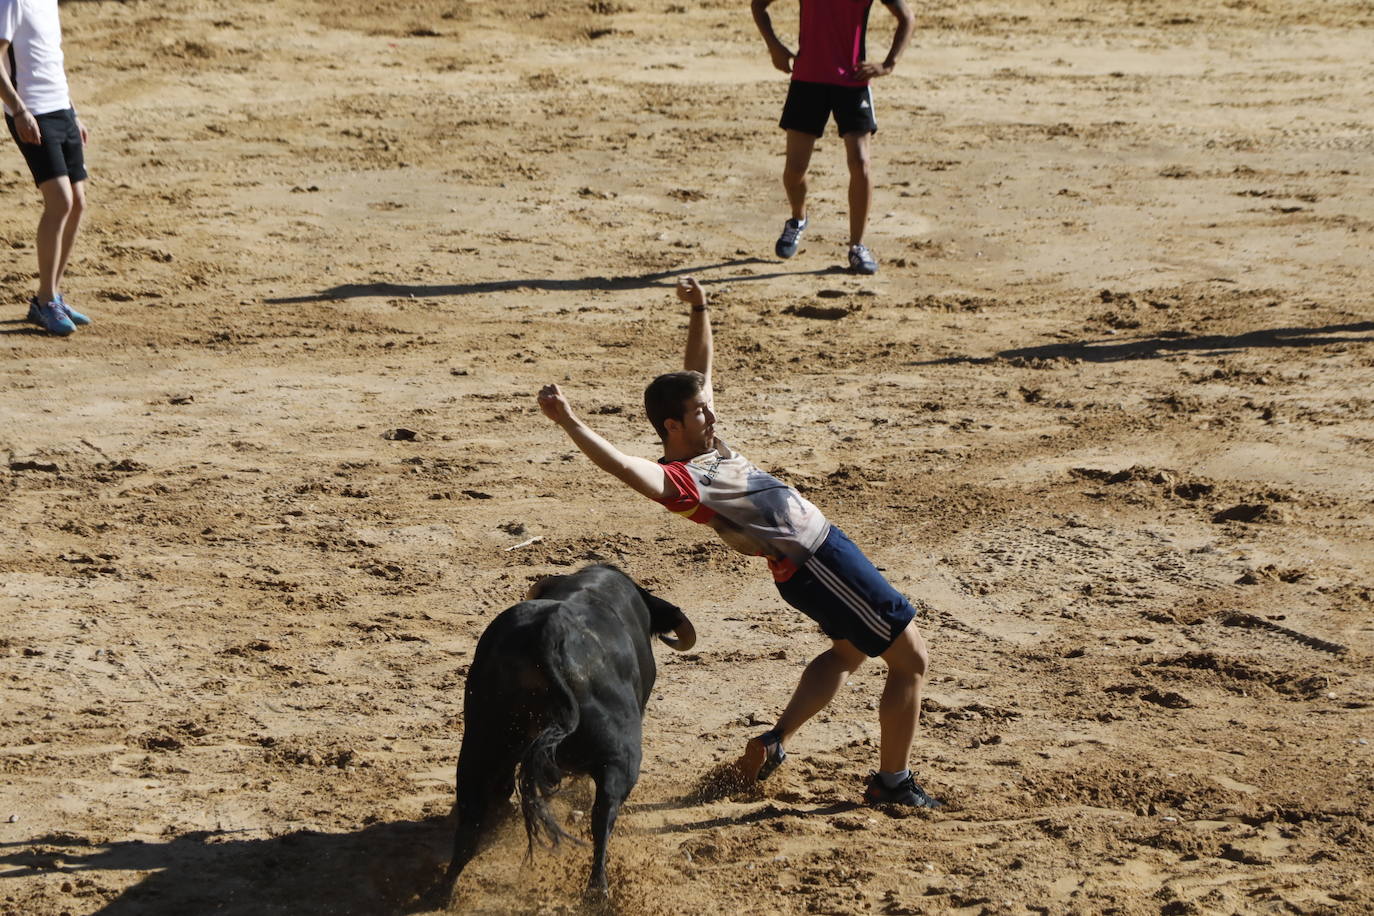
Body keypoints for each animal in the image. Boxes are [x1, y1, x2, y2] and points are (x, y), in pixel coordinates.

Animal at [442, 563, 692, 900]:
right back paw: (598, 890)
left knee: (474, 806)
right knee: (604, 812)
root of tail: (547, 634)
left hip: (481, 741)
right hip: (621, 755)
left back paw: (444, 889)